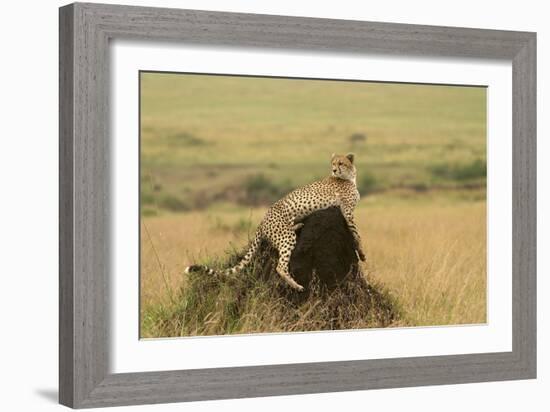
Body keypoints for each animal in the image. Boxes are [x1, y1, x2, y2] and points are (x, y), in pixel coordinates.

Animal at [188, 153, 368, 292]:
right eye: (333, 163)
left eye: (341, 163)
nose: (334, 169)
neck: (349, 177)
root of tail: (262, 221)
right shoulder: (347, 212)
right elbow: (357, 234)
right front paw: (361, 252)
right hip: (286, 238)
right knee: (280, 267)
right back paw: (297, 286)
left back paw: (298, 225)